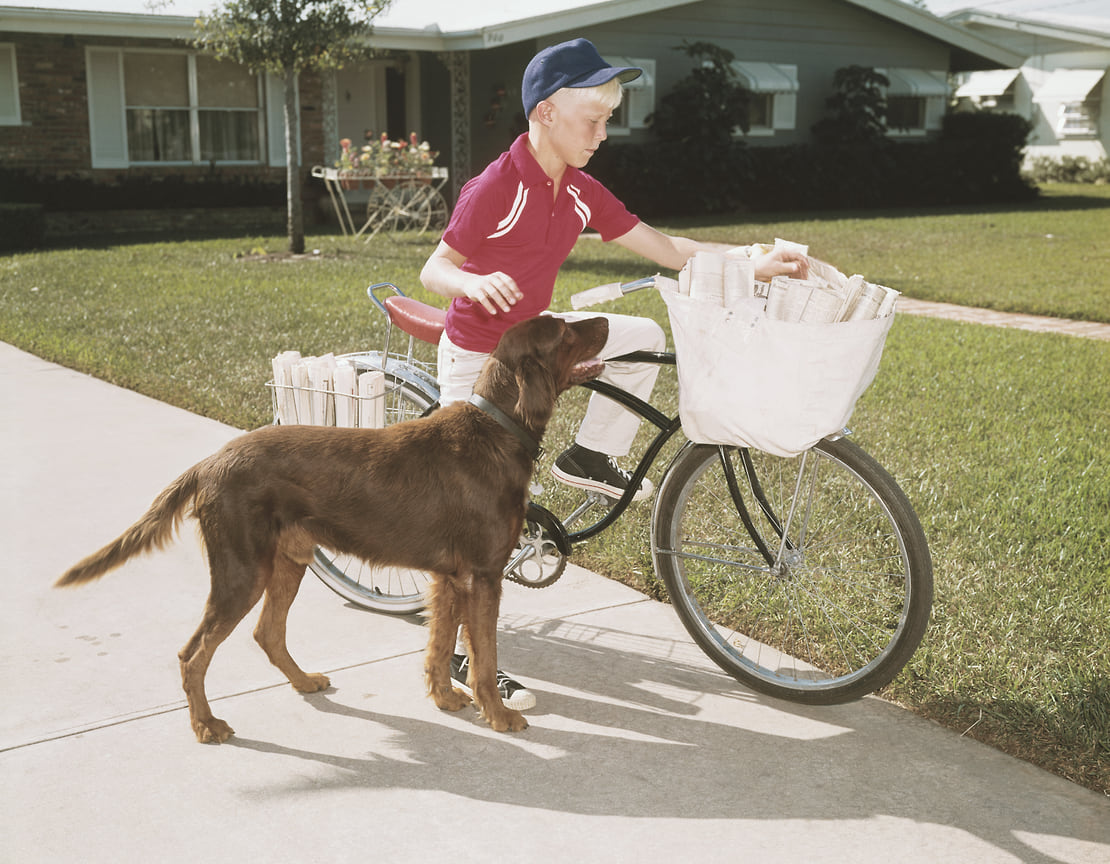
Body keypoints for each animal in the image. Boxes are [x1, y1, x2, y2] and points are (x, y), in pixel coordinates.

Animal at [56, 315, 612, 741]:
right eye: (564, 330)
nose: (607, 320)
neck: (497, 429)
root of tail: (211, 462)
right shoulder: (483, 576)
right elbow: (484, 657)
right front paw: (498, 716)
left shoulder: (448, 579)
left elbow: (438, 647)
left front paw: (444, 699)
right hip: (243, 570)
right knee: (192, 654)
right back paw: (207, 726)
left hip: (287, 561)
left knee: (266, 633)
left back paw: (303, 682)